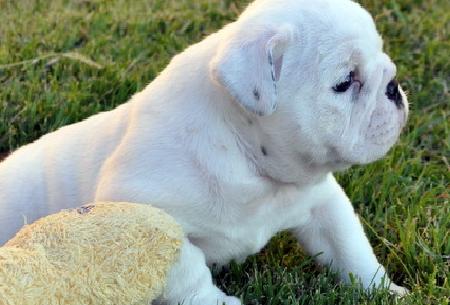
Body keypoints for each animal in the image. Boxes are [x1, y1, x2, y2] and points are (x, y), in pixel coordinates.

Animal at [0, 0, 408, 302]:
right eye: (345, 82)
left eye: (382, 58)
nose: (393, 87)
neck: (252, 163)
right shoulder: (150, 217)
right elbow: (189, 275)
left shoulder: (322, 201)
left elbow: (349, 246)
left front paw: (384, 290)